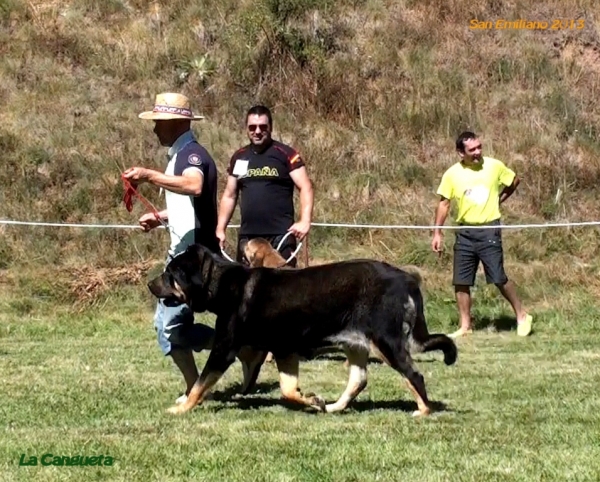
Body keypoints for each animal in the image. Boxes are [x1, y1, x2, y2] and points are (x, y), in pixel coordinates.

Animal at [148, 243, 458, 416]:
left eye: (170, 274)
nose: (150, 284)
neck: (223, 284)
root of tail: (406, 279)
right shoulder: (285, 351)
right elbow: (288, 390)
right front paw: (314, 401)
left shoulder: (224, 350)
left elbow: (199, 384)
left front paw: (182, 408)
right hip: (355, 344)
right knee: (358, 381)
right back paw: (333, 407)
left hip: (386, 342)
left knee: (414, 375)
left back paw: (423, 411)